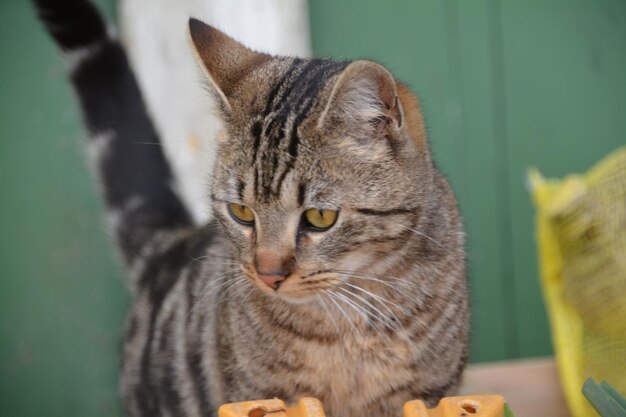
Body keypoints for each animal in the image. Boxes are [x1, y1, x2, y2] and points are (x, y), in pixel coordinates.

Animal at [34, 0, 466, 416]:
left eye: (320, 217)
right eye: (241, 212)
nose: (268, 274)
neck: (350, 328)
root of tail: (170, 248)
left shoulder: (430, 393)